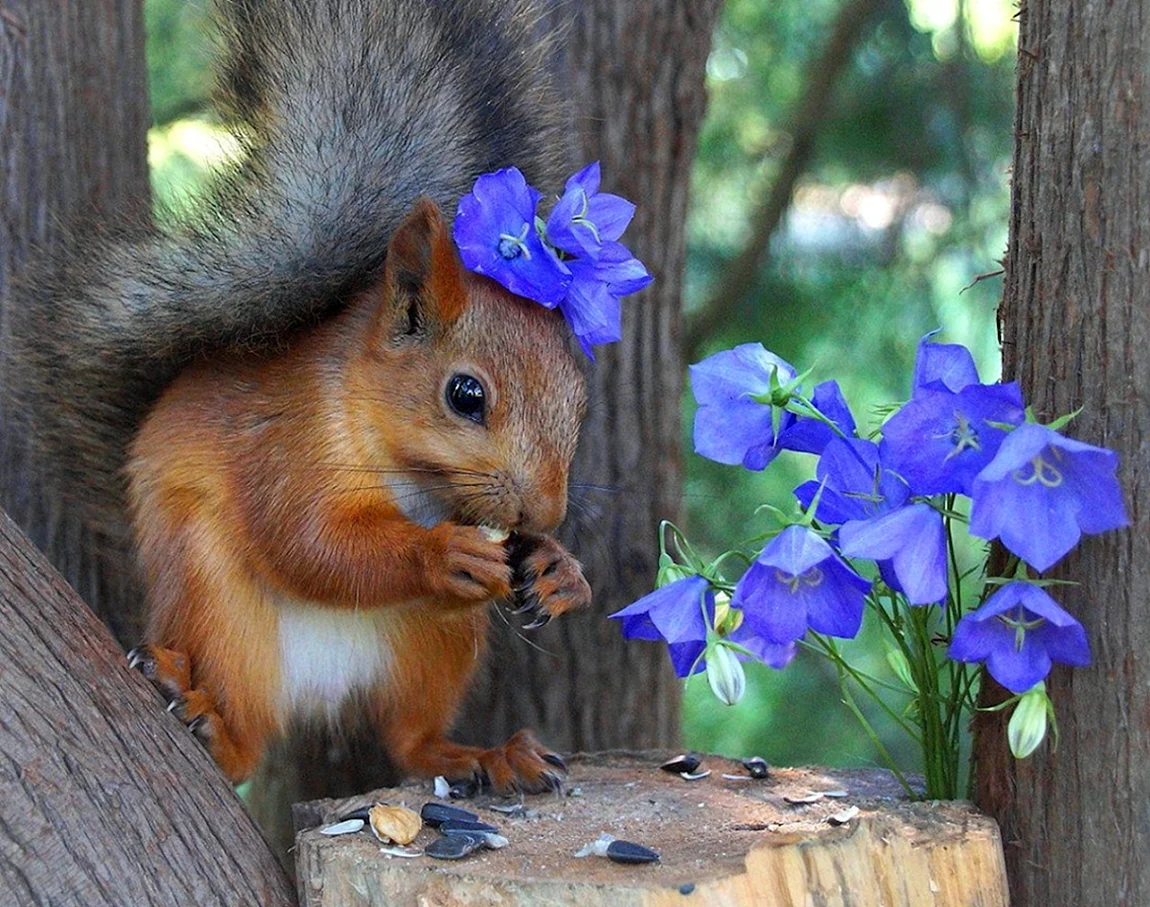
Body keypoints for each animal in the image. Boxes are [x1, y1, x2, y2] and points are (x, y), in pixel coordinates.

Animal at [130, 196, 588, 786]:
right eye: (465, 394)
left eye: (579, 403)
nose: (545, 515)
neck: (410, 471)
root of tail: (322, 693)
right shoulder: (289, 441)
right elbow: (306, 542)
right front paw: (441, 551)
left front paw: (558, 569)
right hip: (212, 604)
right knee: (247, 738)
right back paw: (210, 725)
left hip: (434, 647)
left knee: (411, 740)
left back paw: (484, 756)